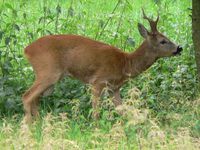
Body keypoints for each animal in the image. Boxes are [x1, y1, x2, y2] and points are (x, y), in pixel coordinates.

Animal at [22, 10, 183, 123]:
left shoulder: (114, 88)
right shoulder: (98, 81)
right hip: (48, 72)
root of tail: (27, 49)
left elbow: (123, 110)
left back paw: (40, 125)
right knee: (27, 96)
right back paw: (29, 128)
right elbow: (96, 111)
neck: (125, 63)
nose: (179, 48)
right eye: (163, 41)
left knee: (34, 99)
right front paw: (96, 129)